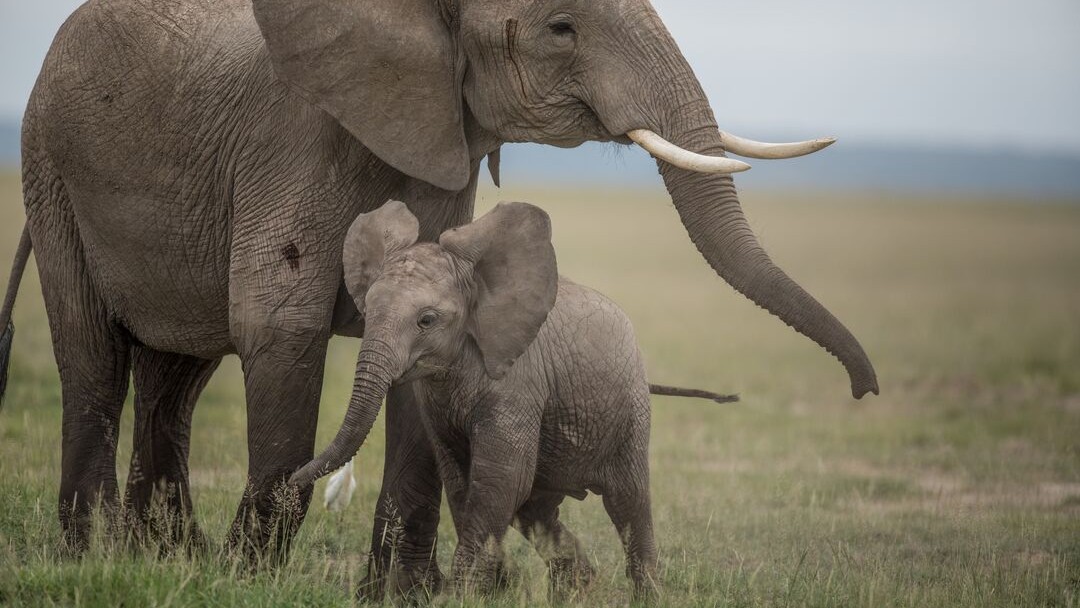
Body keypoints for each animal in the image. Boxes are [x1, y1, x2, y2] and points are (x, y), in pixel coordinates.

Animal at [291, 200, 738, 600]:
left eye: (426, 321)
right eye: (367, 311)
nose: (292, 479)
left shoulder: (519, 381)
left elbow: (500, 478)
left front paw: (464, 595)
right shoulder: (436, 396)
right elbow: (461, 478)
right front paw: (492, 588)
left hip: (630, 410)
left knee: (628, 503)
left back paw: (646, 595)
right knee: (537, 510)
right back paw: (579, 591)